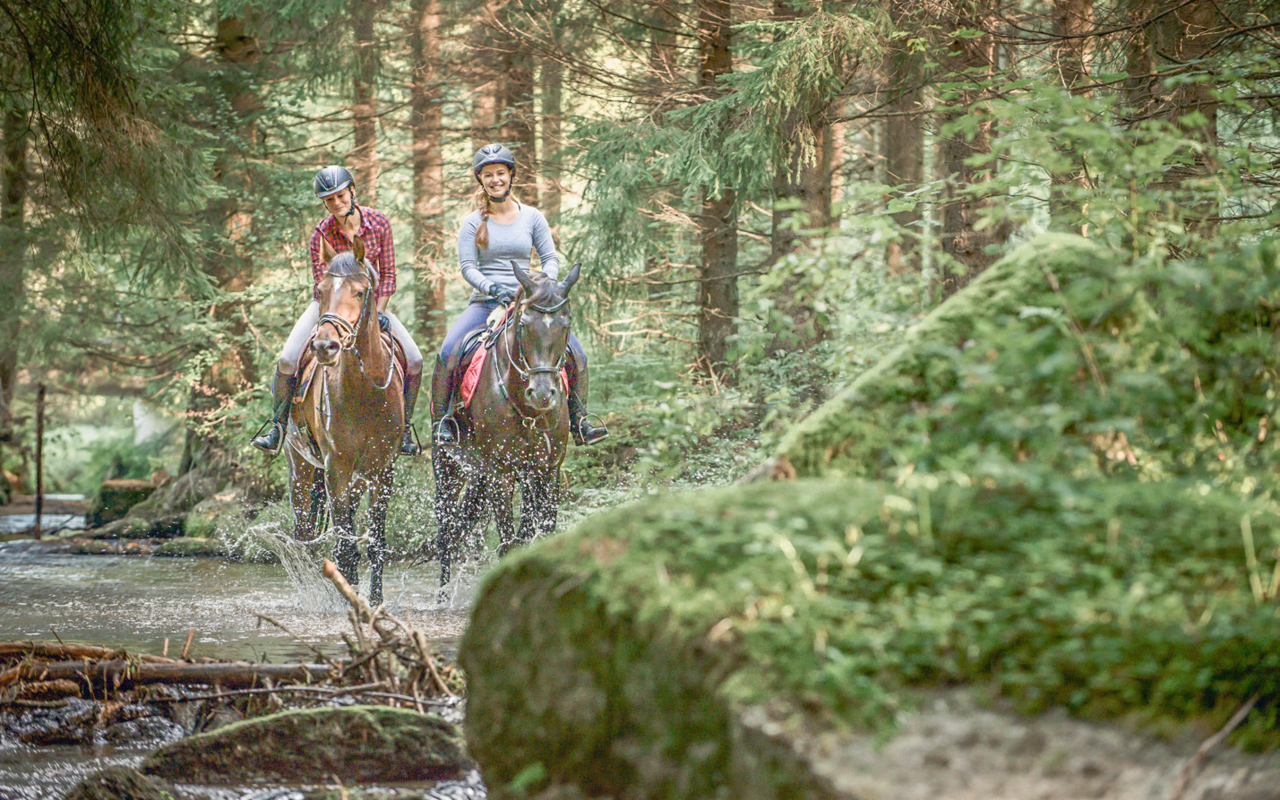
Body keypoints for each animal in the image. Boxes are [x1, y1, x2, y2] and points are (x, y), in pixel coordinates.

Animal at [286, 232, 401, 604]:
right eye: (320, 290)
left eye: (361, 291)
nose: (325, 346)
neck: (363, 393)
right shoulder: (336, 469)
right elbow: (345, 546)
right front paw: (348, 600)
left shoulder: (382, 471)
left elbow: (376, 544)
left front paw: (374, 603)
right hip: (301, 469)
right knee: (305, 537)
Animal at [435, 262, 586, 586]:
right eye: (524, 324)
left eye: (566, 325)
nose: (541, 394)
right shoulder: (500, 474)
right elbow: (507, 543)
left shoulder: (546, 471)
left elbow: (538, 534)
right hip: (448, 466)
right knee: (445, 533)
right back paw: (442, 592)